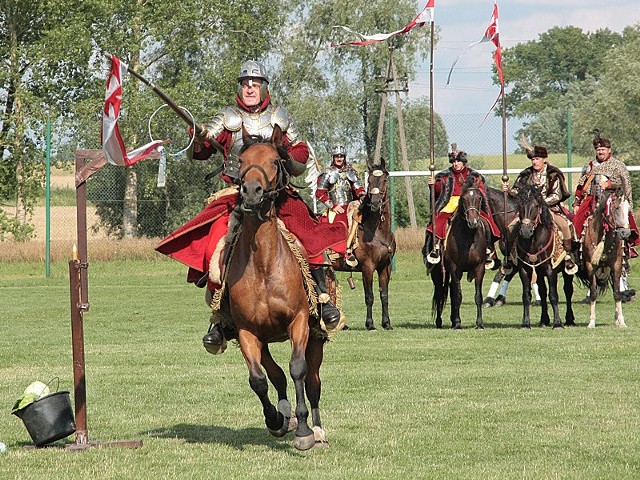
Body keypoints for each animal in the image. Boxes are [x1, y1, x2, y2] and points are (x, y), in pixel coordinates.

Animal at [221, 126, 330, 450]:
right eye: (242, 161)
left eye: (273, 160)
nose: (251, 192)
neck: (264, 266)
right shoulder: (247, 331)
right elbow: (259, 378)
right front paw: (276, 420)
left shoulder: (300, 323)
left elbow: (298, 370)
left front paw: (305, 431)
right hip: (266, 338)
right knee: (276, 376)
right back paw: (284, 415)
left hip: (316, 337)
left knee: (312, 381)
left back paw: (317, 429)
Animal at [332, 161, 398, 330]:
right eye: (369, 181)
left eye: (384, 180)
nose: (375, 203)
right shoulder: (367, 268)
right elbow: (369, 296)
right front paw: (370, 324)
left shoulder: (385, 267)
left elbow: (384, 295)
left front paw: (387, 323)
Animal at [424, 173, 490, 330]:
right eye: (464, 199)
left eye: (479, 198)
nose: (473, 222)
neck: (468, 236)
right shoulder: (455, 268)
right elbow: (457, 296)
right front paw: (458, 322)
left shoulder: (479, 268)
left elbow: (477, 296)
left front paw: (479, 323)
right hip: (439, 271)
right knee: (440, 291)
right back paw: (440, 321)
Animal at [512, 186, 576, 328]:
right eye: (519, 205)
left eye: (536, 205)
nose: (526, 231)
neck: (534, 242)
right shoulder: (525, 270)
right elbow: (526, 296)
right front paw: (526, 323)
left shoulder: (550, 270)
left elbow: (553, 295)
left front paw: (557, 323)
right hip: (539, 273)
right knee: (542, 291)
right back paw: (544, 320)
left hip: (567, 271)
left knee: (568, 291)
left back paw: (569, 319)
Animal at [576, 189, 628, 328]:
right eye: (616, 208)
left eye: (628, 210)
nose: (626, 233)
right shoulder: (590, 266)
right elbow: (593, 293)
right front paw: (591, 321)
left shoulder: (616, 265)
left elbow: (617, 293)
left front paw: (621, 321)